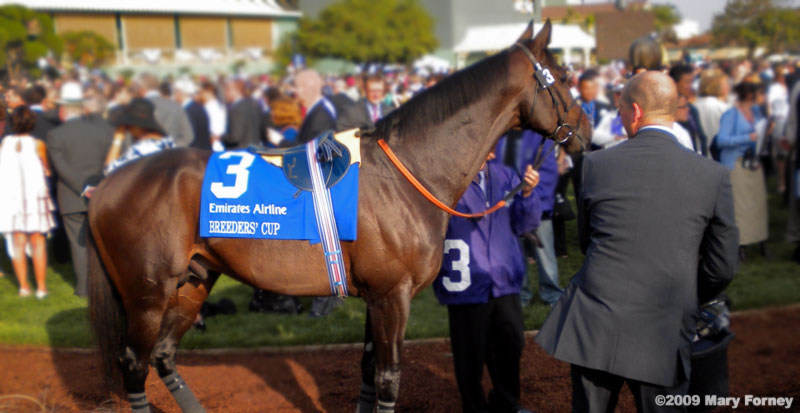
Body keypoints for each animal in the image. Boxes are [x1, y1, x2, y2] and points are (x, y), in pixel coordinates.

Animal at [87, 21, 592, 412]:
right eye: (563, 75)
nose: (586, 132)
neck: (406, 171)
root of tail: (107, 184)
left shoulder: (376, 297)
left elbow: (368, 371)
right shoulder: (392, 296)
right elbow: (388, 378)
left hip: (193, 281)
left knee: (163, 356)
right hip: (148, 293)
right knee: (134, 362)